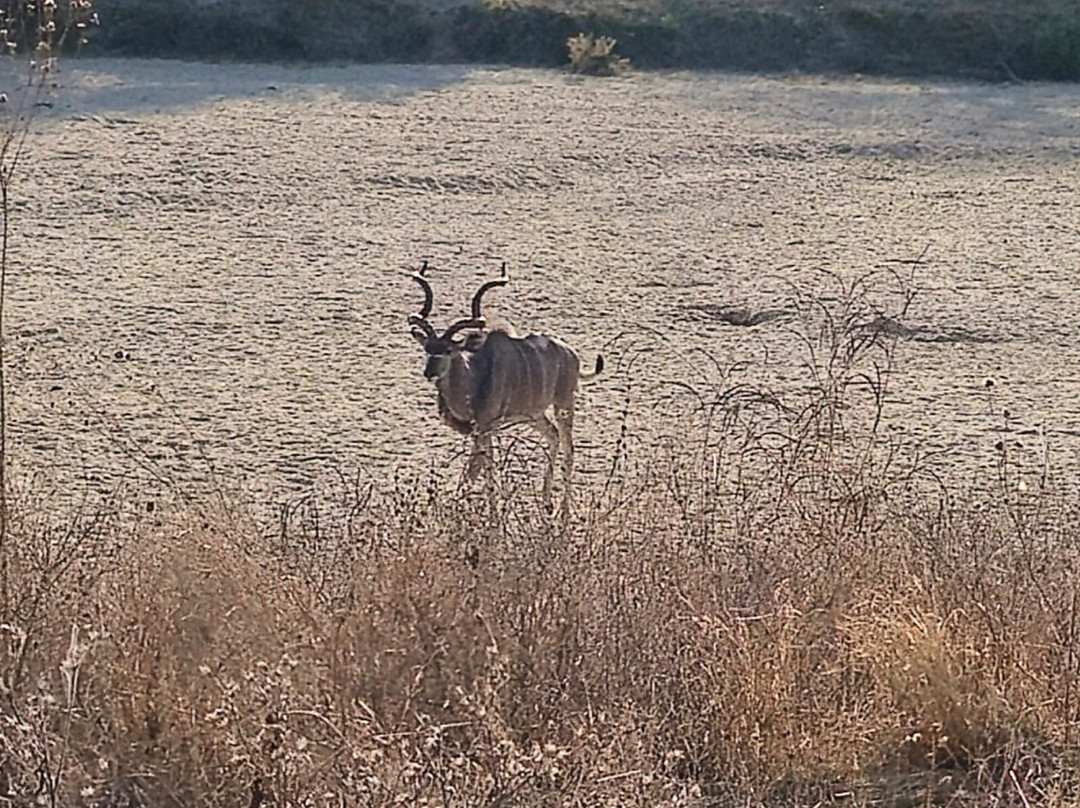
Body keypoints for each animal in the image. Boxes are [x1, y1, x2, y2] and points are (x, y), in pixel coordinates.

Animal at [407, 262, 603, 513]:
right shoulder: (480, 430)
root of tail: (571, 354)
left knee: (569, 449)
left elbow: (480, 469)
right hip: (533, 415)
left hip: (564, 404)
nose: (429, 372)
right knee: (553, 435)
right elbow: (476, 468)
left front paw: (490, 512)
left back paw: (563, 510)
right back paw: (546, 500)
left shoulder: (486, 428)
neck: (474, 374)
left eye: (449, 350)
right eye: (427, 349)